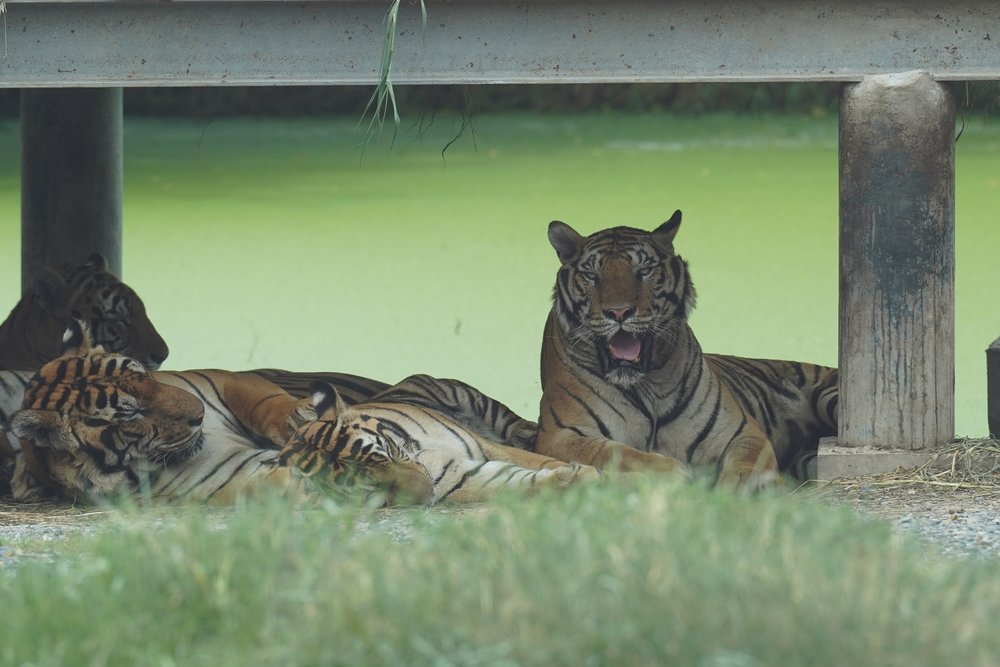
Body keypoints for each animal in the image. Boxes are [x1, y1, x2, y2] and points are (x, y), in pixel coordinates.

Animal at [279, 375, 600, 504]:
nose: (427, 494)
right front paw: (577, 478)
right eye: (372, 487)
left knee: (517, 426)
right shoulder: (463, 478)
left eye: (390, 451)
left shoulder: (487, 446)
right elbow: (519, 483)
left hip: (479, 403)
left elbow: (539, 460)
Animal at [537, 210, 838, 487]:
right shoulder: (562, 434)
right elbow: (618, 453)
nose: (619, 312)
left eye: (644, 271)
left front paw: (746, 488)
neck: (643, 384)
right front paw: (674, 472)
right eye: (592, 275)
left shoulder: (739, 429)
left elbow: (748, 461)